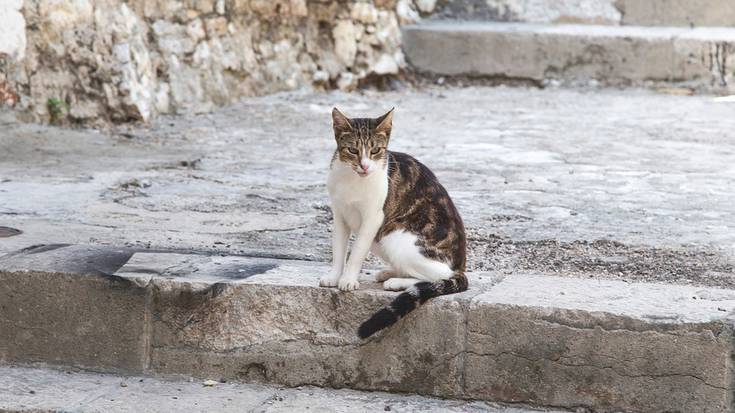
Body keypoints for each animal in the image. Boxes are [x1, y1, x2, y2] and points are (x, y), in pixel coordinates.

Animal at [320, 107, 468, 338]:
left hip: (395, 234)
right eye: (352, 150)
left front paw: (348, 279)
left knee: (439, 275)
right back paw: (389, 272)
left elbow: (357, 252)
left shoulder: (373, 218)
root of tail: (460, 264)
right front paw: (334, 275)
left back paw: (397, 282)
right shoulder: (339, 215)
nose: (364, 166)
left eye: (375, 150)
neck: (353, 180)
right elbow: (338, 250)